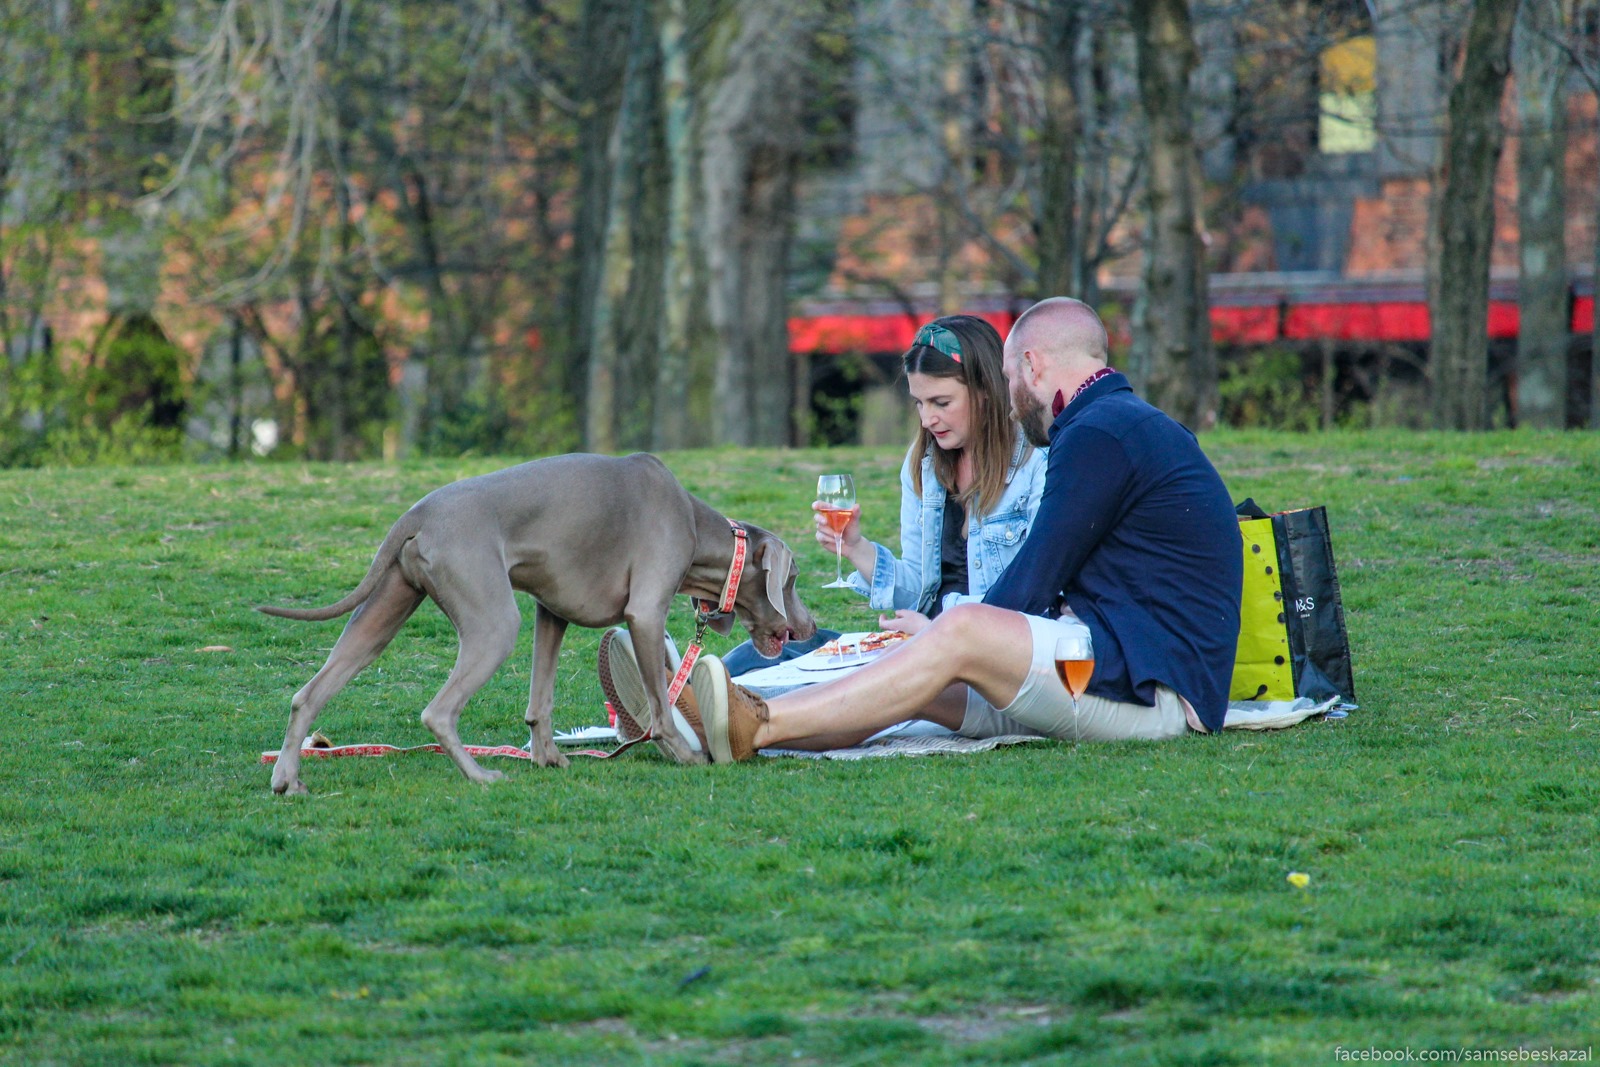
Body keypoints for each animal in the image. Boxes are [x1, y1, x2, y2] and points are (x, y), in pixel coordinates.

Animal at [260, 451, 819, 793]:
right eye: (792, 581)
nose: (810, 627)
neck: (697, 526)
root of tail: (418, 514)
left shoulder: (551, 612)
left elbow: (540, 699)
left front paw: (548, 757)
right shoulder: (645, 612)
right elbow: (661, 699)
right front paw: (684, 754)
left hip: (383, 613)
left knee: (307, 694)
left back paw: (288, 779)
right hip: (493, 622)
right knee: (437, 712)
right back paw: (480, 776)